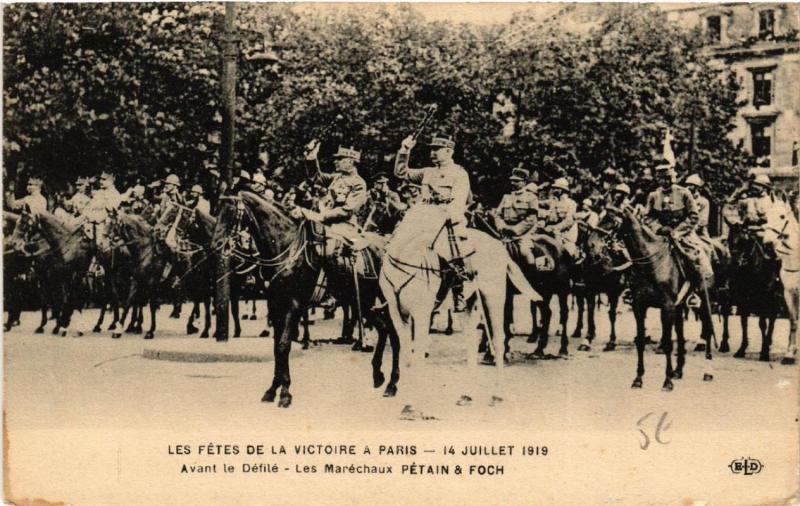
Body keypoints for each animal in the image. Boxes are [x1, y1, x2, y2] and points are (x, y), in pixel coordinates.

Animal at [378, 204, 540, 418]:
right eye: (456, 234)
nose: (462, 269)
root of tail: (499, 246)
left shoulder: (421, 314)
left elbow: (418, 355)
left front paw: (413, 405)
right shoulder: (398, 314)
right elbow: (408, 357)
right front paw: (406, 402)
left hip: (493, 298)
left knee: (498, 341)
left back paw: (497, 394)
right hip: (468, 306)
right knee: (471, 343)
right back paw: (467, 395)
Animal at [616, 206, 716, 392]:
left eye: (612, 220)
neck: (651, 265)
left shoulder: (667, 307)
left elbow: (668, 344)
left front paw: (667, 381)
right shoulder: (639, 307)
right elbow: (640, 342)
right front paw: (638, 379)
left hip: (704, 304)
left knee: (706, 331)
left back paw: (708, 371)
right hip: (679, 307)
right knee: (681, 334)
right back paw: (678, 371)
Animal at [720, 222, 784, 360]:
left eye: (744, 240)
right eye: (729, 239)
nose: (735, 262)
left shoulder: (763, 299)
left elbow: (762, 324)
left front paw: (764, 352)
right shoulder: (743, 299)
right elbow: (744, 322)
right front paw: (741, 349)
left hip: (774, 299)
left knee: (772, 319)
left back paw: (768, 342)